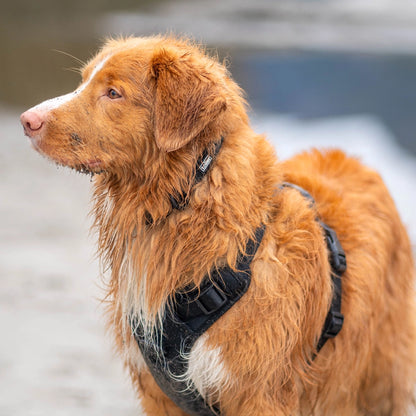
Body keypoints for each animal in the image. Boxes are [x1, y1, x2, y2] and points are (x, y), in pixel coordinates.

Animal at [20, 36, 416, 416]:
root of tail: (354, 159)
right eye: (84, 81)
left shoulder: (259, 394)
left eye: (113, 92)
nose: (27, 120)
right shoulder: (159, 392)